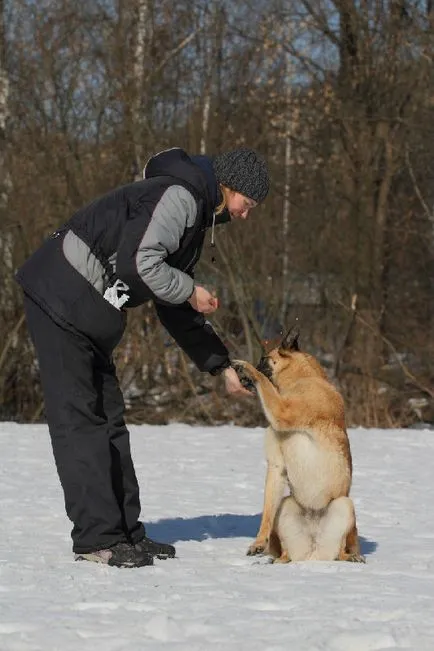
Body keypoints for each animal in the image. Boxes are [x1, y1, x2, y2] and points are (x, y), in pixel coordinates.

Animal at [232, 328, 364, 564]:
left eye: (263, 359)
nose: (241, 378)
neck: (303, 376)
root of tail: (313, 553)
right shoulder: (276, 467)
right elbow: (266, 512)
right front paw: (259, 542)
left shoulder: (282, 410)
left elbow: (264, 382)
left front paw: (245, 366)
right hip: (286, 505)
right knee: (286, 549)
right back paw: (279, 560)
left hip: (344, 504)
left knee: (340, 550)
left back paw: (350, 557)